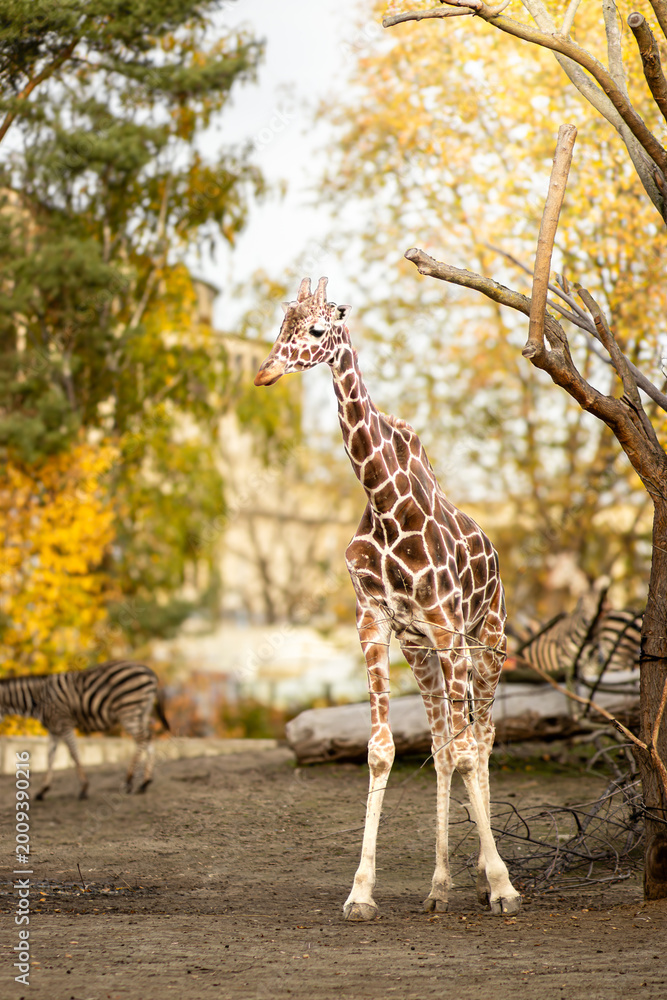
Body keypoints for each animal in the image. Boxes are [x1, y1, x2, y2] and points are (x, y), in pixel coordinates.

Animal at [0, 660, 169, 799]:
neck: (38, 698)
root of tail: (149, 671)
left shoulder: (64, 723)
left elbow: (73, 753)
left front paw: (83, 788)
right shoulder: (53, 729)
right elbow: (50, 757)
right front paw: (42, 790)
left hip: (129, 711)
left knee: (141, 739)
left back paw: (128, 782)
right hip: (142, 713)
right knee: (148, 737)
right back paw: (145, 782)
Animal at [254, 277, 521, 921]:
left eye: (318, 328)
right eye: (280, 325)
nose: (265, 372)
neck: (382, 501)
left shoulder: (449, 630)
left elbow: (469, 749)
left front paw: (502, 885)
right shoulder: (374, 624)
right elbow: (382, 750)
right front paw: (361, 892)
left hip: (487, 641)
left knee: (481, 738)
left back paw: (488, 879)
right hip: (422, 652)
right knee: (446, 745)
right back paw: (443, 883)